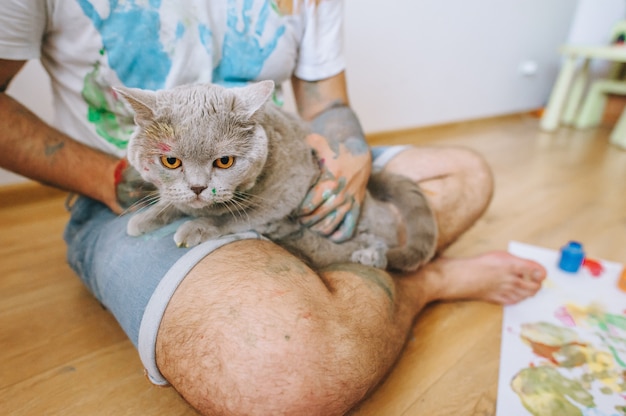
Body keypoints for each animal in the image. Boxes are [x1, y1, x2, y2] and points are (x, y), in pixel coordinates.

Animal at [118, 79, 438, 272]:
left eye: (224, 161)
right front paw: (144, 219)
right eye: (171, 161)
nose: (198, 187)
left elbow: (232, 216)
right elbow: (171, 200)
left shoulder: (284, 194)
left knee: (380, 236)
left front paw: (197, 227)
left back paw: (370, 255)